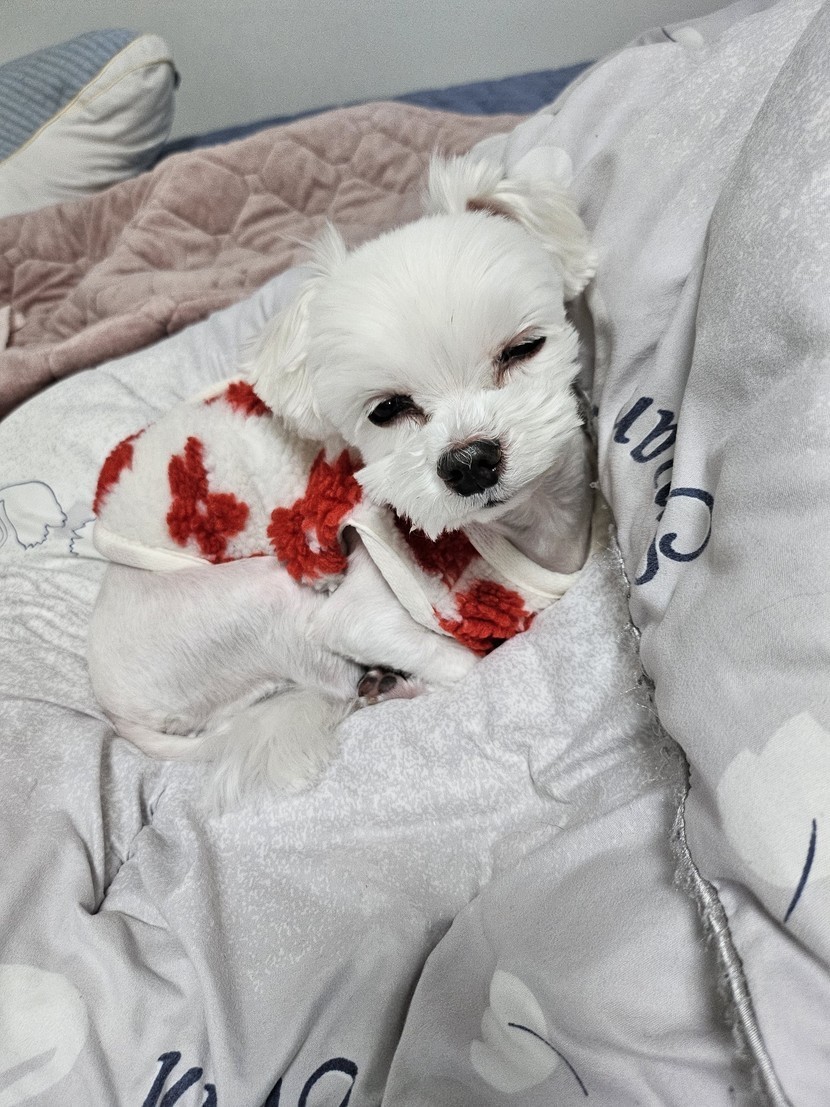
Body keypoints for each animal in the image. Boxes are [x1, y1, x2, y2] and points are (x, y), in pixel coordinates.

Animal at [87, 150, 596, 810]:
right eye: (386, 410)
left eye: (524, 348)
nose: (468, 462)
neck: (523, 529)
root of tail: (117, 710)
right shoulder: (358, 609)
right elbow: (458, 661)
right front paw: (425, 670)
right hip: (263, 603)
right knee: (333, 682)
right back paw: (389, 686)